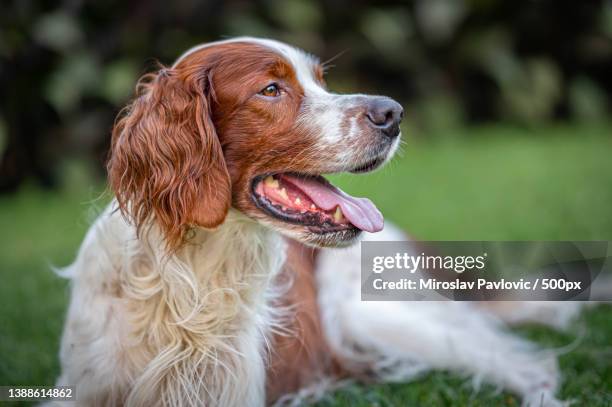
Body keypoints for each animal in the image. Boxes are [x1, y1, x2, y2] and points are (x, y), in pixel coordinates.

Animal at [53, 37, 580, 404]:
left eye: (323, 82)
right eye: (270, 89)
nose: (394, 112)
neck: (190, 278)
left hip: (372, 310)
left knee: (530, 366)